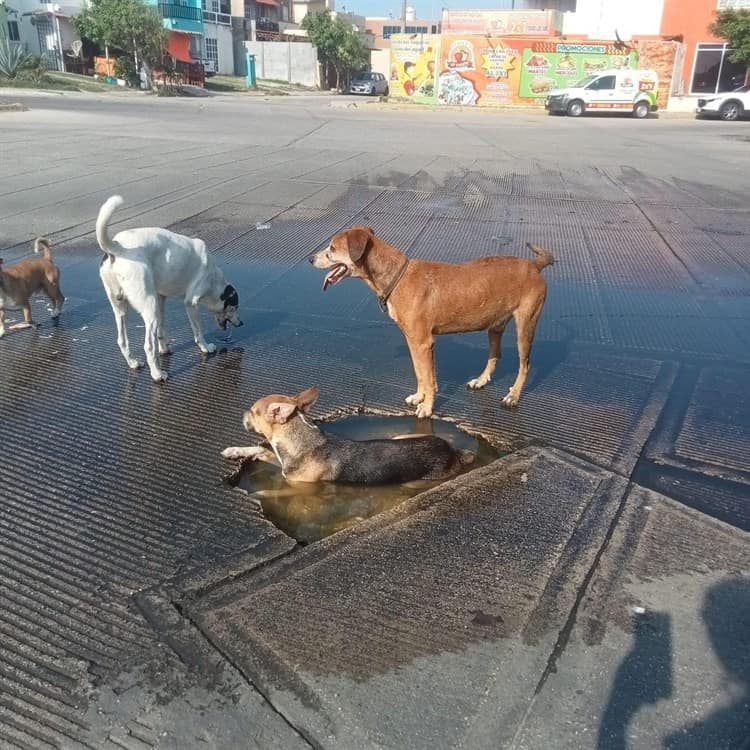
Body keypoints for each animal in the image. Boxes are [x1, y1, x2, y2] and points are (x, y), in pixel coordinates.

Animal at [94, 195, 241, 382]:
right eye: (234, 307)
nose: (241, 323)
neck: (213, 277)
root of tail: (117, 247)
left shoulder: (161, 298)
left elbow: (162, 329)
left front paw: (164, 348)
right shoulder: (191, 303)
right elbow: (198, 331)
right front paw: (205, 348)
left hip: (121, 308)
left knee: (122, 340)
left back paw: (133, 363)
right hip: (149, 307)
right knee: (148, 346)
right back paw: (157, 373)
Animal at [220, 388, 472, 482]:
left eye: (253, 412)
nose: (243, 413)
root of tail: (455, 451)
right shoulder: (283, 463)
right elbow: (261, 449)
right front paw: (234, 451)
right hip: (399, 437)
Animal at [310, 228, 552, 418]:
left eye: (332, 248)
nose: (310, 259)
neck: (397, 276)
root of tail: (533, 265)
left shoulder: (423, 343)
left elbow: (428, 377)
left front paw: (427, 408)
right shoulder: (413, 342)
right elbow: (420, 373)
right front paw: (419, 397)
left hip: (526, 326)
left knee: (525, 365)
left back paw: (513, 395)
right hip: (495, 325)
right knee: (495, 355)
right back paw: (481, 381)